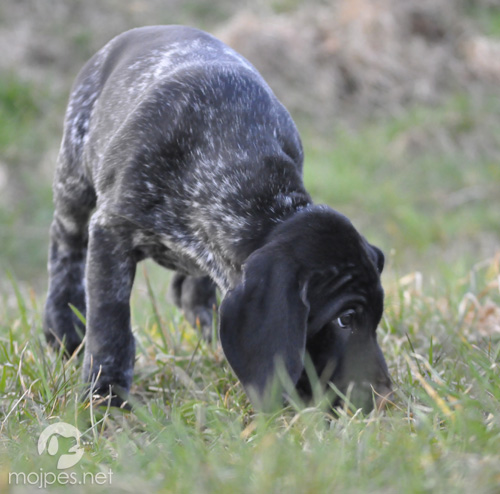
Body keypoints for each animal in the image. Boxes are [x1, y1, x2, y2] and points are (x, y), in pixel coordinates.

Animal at [44, 25, 390, 412]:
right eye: (345, 319)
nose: (385, 397)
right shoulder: (111, 230)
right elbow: (110, 322)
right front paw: (105, 394)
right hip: (75, 179)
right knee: (65, 242)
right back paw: (62, 326)